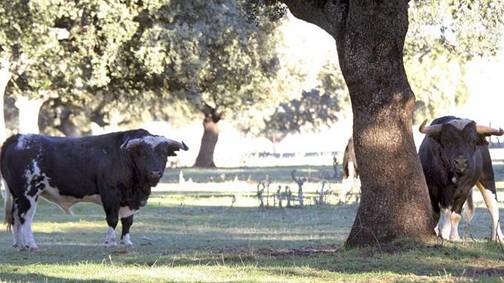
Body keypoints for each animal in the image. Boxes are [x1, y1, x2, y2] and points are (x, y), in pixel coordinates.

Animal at [0, 129, 188, 251]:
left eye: (163, 153)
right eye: (142, 153)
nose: (155, 172)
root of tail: (17, 138)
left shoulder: (128, 200)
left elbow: (127, 221)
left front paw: (126, 242)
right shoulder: (111, 194)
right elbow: (112, 219)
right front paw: (110, 242)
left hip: (17, 195)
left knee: (16, 217)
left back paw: (19, 244)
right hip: (28, 193)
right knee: (25, 218)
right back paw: (30, 244)